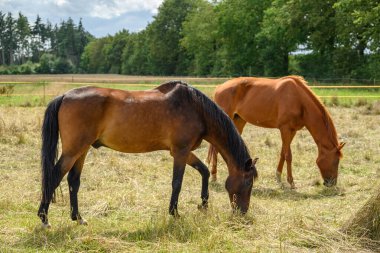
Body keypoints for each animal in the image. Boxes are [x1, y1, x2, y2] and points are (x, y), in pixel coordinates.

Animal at [37, 82, 258, 228]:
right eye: (248, 183)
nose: (242, 212)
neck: (195, 108)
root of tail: (65, 96)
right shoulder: (180, 152)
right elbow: (177, 182)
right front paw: (174, 213)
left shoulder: (182, 152)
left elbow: (203, 171)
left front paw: (203, 205)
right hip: (73, 151)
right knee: (53, 178)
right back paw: (44, 219)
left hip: (81, 150)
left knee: (73, 181)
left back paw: (78, 218)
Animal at [208, 76, 344, 189]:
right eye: (336, 161)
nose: (331, 183)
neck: (299, 100)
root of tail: (219, 88)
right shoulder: (285, 129)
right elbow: (288, 156)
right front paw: (291, 182)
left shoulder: (292, 131)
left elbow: (283, 153)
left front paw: (278, 177)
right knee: (216, 147)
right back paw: (214, 176)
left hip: (238, 121)